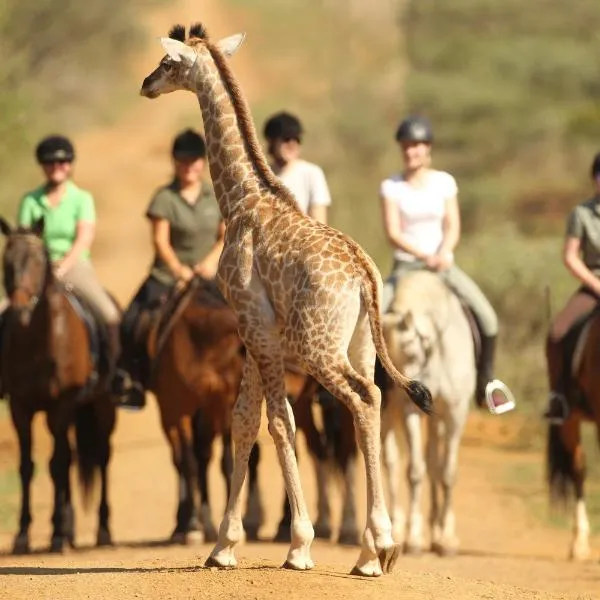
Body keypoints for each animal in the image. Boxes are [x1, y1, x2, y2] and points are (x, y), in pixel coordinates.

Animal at [0, 218, 117, 556]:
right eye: (7, 261)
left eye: (38, 261)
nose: (19, 309)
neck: (39, 343)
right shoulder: (20, 409)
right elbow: (29, 467)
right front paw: (23, 535)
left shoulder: (60, 407)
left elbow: (56, 465)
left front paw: (54, 535)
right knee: (71, 457)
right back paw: (69, 529)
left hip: (102, 408)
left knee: (101, 457)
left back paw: (102, 530)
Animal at [140, 23, 432, 576]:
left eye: (168, 63)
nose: (146, 84)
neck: (242, 200)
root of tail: (363, 273)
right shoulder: (256, 329)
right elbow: (243, 421)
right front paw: (223, 546)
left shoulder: (253, 323)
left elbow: (277, 422)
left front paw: (297, 544)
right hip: (360, 342)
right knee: (374, 399)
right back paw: (371, 551)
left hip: (319, 345)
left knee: (363, 399)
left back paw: (376, 546)